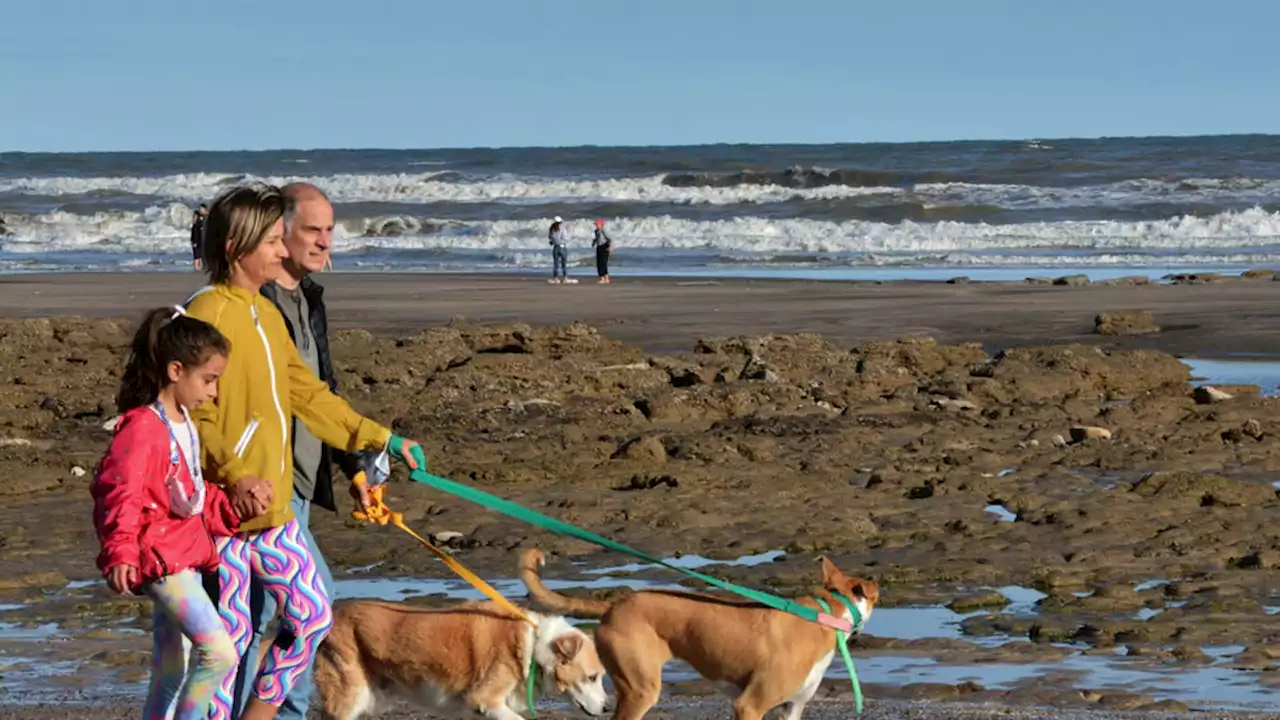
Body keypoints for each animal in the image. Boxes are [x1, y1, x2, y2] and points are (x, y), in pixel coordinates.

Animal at [311, 594, 609, 717]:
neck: (534, 646)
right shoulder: (484, 701)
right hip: (350, 696)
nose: (608, 709)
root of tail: (333, 615)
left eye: (600, 677)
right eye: (592, 677)